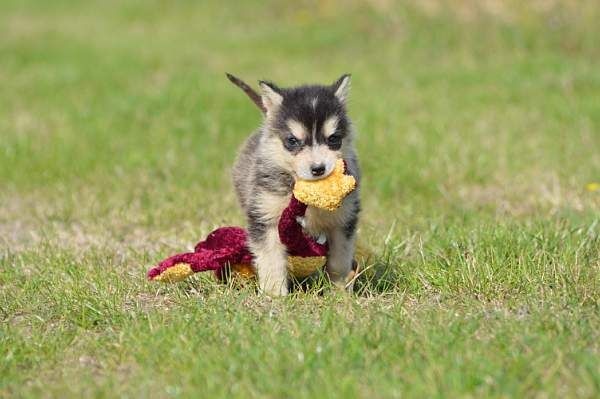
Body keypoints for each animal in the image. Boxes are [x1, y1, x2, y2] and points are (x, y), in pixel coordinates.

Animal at [230, 74, 360, 296]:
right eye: (292, 141)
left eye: (333, 139)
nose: (318, 168)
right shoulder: (266, 216)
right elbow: (271, 260)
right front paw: (274, 294)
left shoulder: (343, 221)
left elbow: (339, 260)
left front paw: (340, 291)